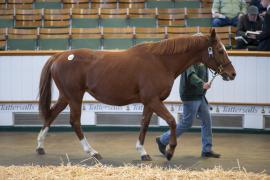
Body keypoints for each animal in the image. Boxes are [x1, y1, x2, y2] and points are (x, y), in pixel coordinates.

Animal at [36, 28, 236, 161]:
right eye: (220, 50)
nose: (232, 74)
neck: (161, 61)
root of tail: (60, 55)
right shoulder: (153, 100)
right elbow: (172, 121)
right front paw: (169, 151)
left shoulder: (149, 102)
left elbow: (144, 124)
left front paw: (143, 152)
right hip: (74, 97)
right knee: (74, 122)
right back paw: (92, 152)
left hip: (66, 97)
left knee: (51, 115)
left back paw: (40, 147)